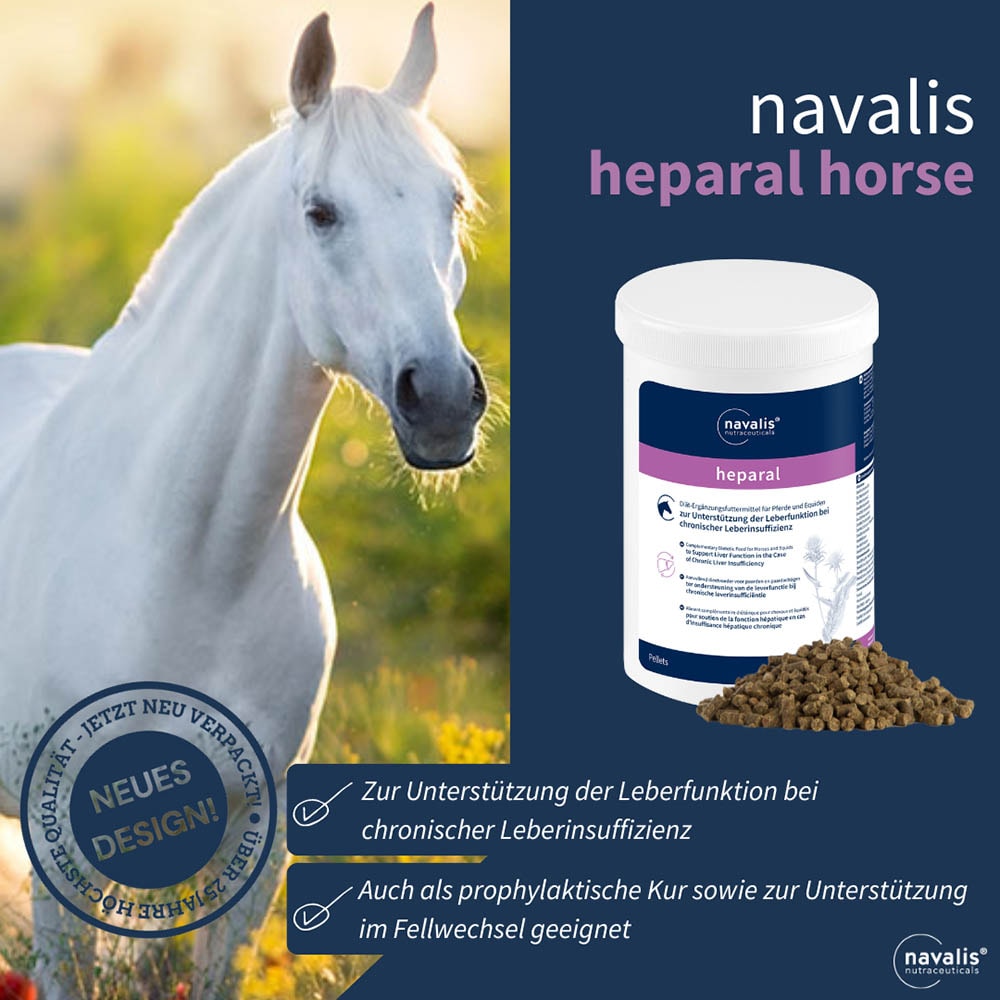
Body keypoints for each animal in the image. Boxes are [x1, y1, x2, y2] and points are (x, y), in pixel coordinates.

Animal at [0, 5, 486, 997]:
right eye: (320, 212)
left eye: (451, 202)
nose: (444, 399)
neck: (191, 561)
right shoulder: (56, 838)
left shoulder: (253, 837)